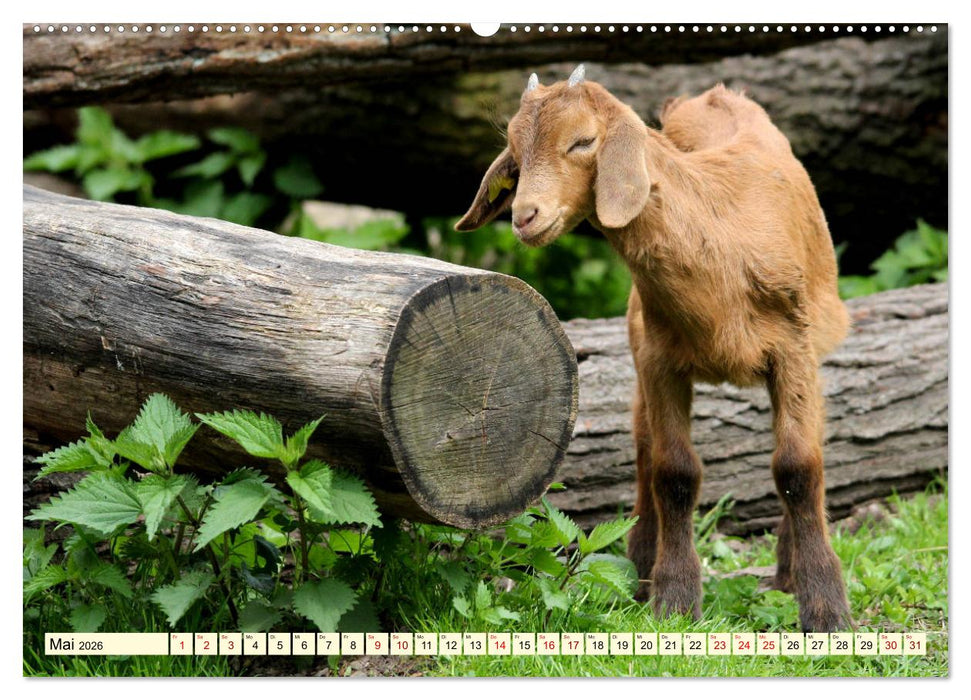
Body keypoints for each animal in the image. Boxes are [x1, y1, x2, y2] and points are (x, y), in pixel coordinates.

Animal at [455, 66, 852, 632]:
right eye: (514, 150)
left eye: (582, 141)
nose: (525, 216)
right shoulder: (661, 360)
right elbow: (674, 472)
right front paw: (674, 599)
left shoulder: (793, 351)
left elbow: (799, 466)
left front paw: (825, 608)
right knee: (644, 447)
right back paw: (640, 568)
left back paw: (786, 571)